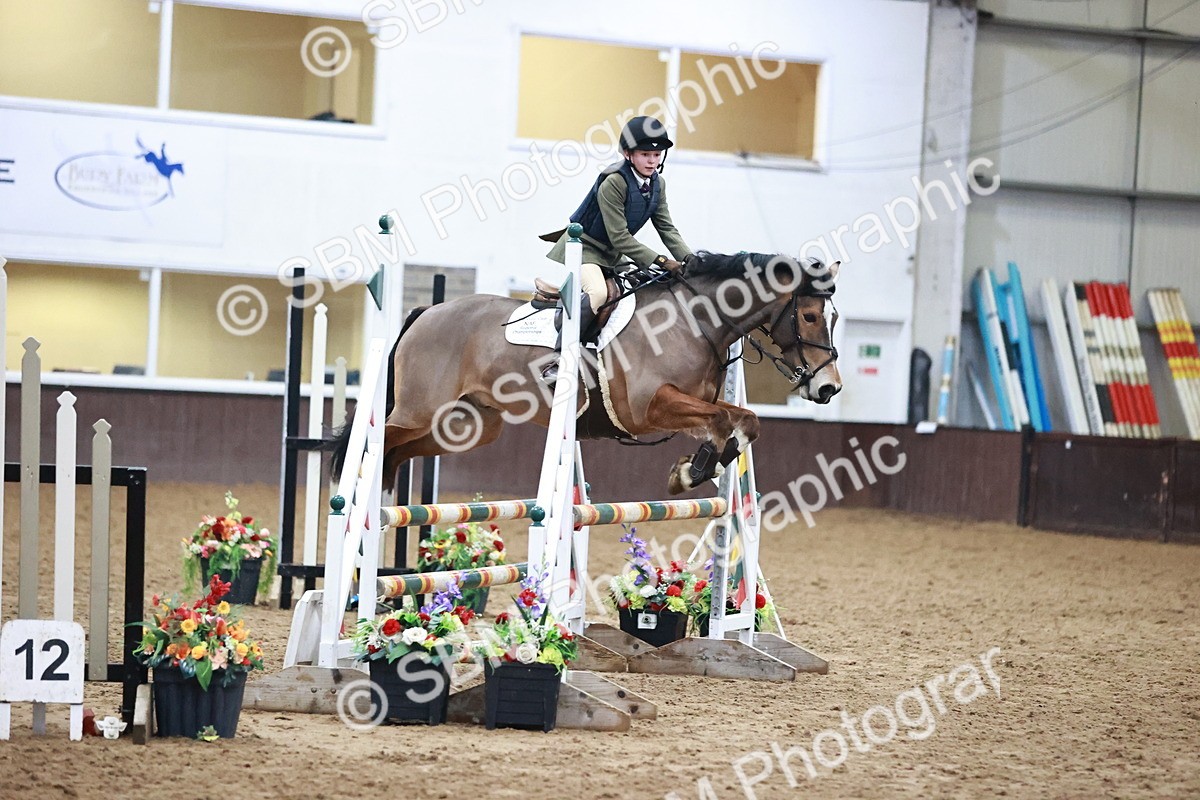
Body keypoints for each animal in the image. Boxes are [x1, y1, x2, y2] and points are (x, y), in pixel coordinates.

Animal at [330, 252, 841, 496]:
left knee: (399, 453)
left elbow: (742, 422)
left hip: (468, 426)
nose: (829, 387)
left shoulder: (697, 402)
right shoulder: (649, 408)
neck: (694, 320)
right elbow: (718, 421)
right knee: (379, 438)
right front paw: (691, 473)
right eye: (810, 316)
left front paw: (696, 467)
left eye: (834, 317)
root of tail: (425, 314)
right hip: (420, 410)